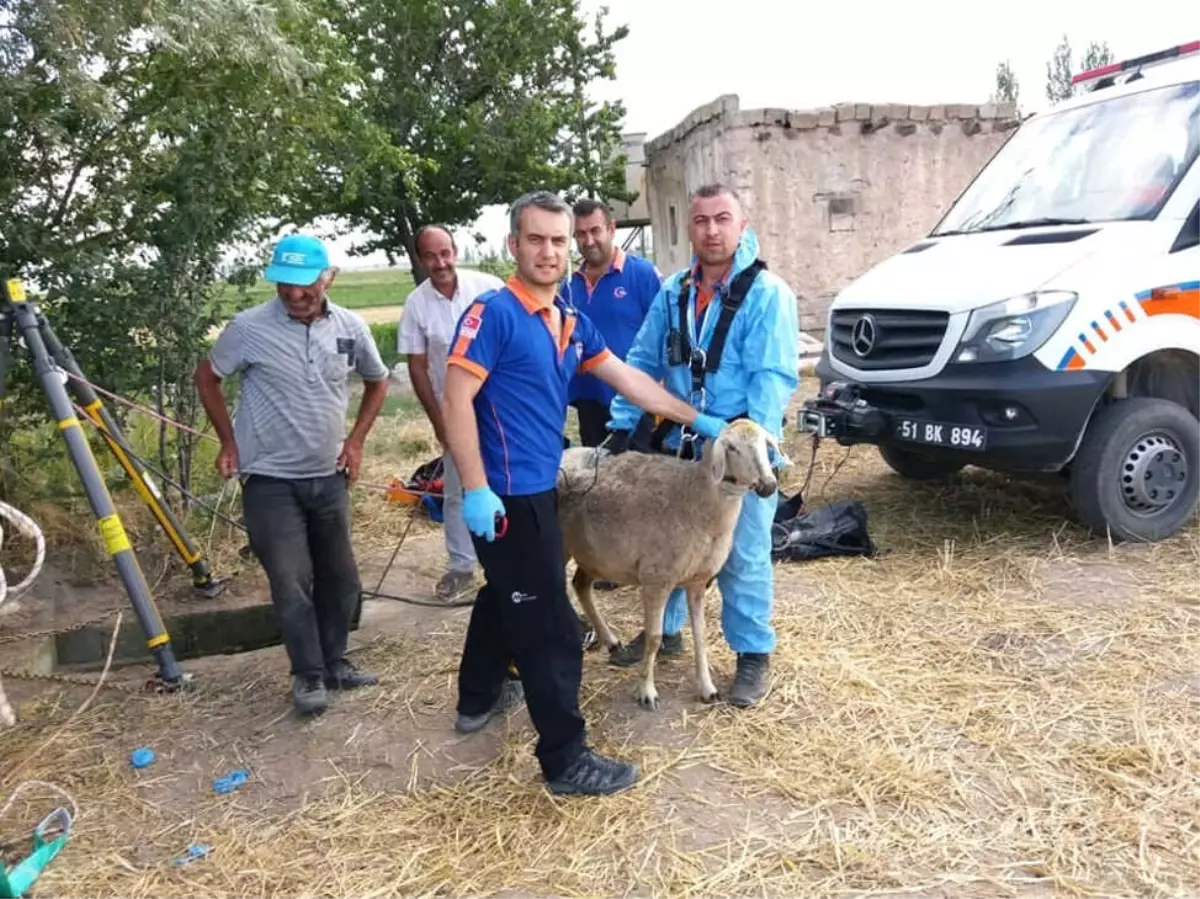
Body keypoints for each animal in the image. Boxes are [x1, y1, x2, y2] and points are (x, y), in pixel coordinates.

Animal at [554, 420, 782, 710]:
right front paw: (647, 691)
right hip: (565, 546)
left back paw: (611, 640)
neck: (697, 496)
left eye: (766, 444)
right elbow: (654, 638)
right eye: (731, 447)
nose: (769, 485)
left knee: (580, 585)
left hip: (593, 553)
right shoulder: (656, 579)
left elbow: (700, 636)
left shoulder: (698, 580)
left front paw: (707, 688)